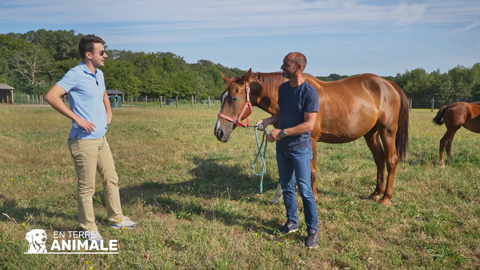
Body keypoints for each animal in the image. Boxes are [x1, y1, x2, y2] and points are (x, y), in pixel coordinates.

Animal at [215, 69, 408, 207]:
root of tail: (389, 84)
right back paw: (376, 193)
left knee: (391, 160)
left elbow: (311, 172)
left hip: (387, 131)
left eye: (233, 98)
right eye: (221, 97)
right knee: (379, 159)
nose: (219, 132)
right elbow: (287, 172)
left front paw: (313, 199)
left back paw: (385, 198)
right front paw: (278, 197)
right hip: (370, 134)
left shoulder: (311, 141)